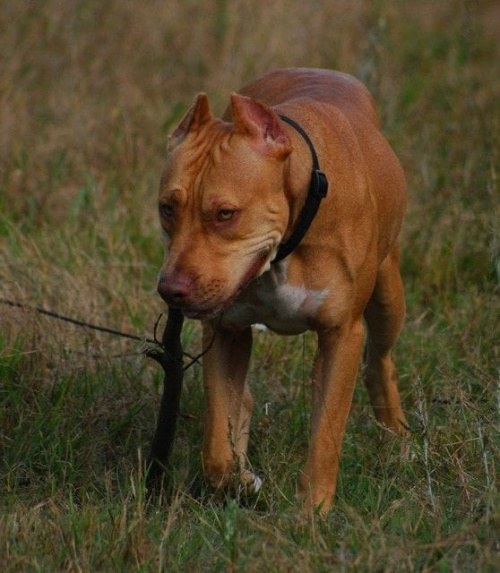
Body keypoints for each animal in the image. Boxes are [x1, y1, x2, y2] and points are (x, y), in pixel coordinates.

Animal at [158, 69, 408, 512]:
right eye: (166, 209)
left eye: (226, 214)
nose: (170, 289)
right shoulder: (226, 333)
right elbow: (216, 447)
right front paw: (239, 480)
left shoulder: (340, 336)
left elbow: (325, 434)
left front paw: (311, 514)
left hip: (388, 297)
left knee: (379, 360)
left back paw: (396, 434)